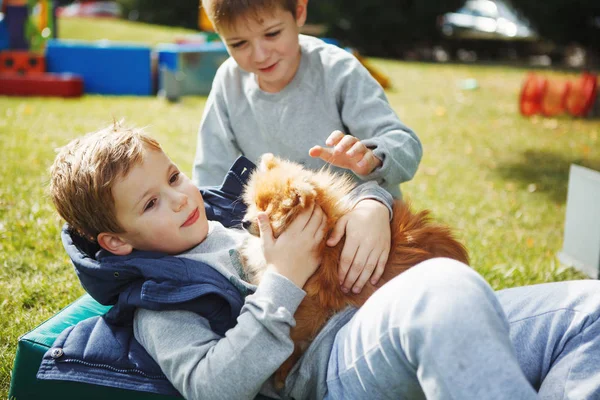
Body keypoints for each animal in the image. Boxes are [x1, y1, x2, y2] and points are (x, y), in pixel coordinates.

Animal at [239, 152, 468, 384]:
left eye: (267, 211)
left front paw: (280, 376)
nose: (244, 222)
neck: (325, 239)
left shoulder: (312, 305)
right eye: (254, 204)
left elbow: (293, 341)